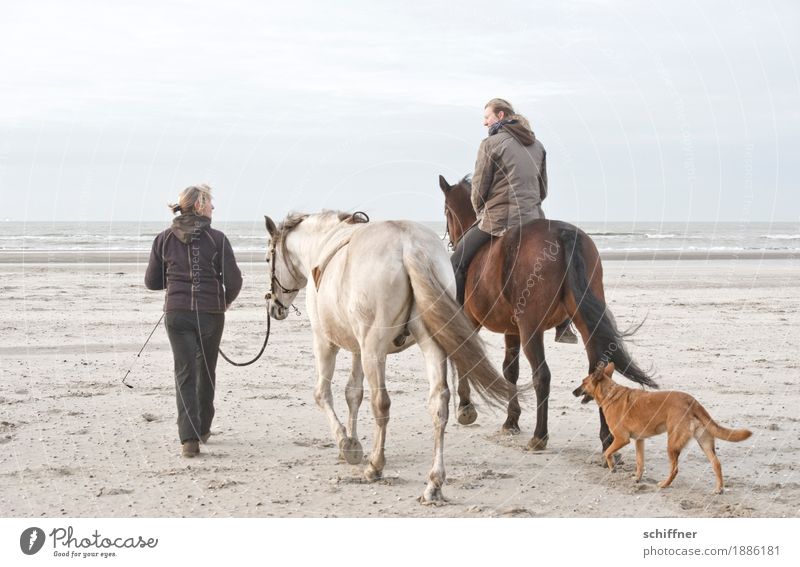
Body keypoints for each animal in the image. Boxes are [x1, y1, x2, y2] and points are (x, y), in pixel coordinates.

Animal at [264, 211, 512, 504]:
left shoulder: (326, 342)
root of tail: (409, 245)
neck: (321, 244)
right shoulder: (357, 348)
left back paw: (376, 466)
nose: (274, 307)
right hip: (429, 343)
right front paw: (353, 441)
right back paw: (434, 482)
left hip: (374, 350)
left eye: (268, 259)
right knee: (438, 403)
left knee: (381, 404)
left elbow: (323, 394)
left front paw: (345, 443)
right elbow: (353, 393)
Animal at [438, 175, 656, 454]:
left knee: (542, 375)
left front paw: (466, 409)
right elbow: (510, 370)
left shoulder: (471, 321)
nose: (450, 240)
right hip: (584, 323)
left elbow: (466, 357)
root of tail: (562, 233)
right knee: (597, 372)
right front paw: (511, 420)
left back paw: (539, 436)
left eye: (446, 210)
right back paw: (607, 441)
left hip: (531, 327)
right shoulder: (511, 330)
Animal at [576, 364, 752, 492]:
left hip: (672, 445)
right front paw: (637, 478)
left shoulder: (621, 439)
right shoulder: (639, 440)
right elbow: (640, 462)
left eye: (583, 382)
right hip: (704, 443)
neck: (610, 394)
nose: (573, 392)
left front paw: (612, 467)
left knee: (675, 470)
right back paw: (719, 489)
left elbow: (607, 452)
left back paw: (664, 484)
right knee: (716, 464)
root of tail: (692, 401)